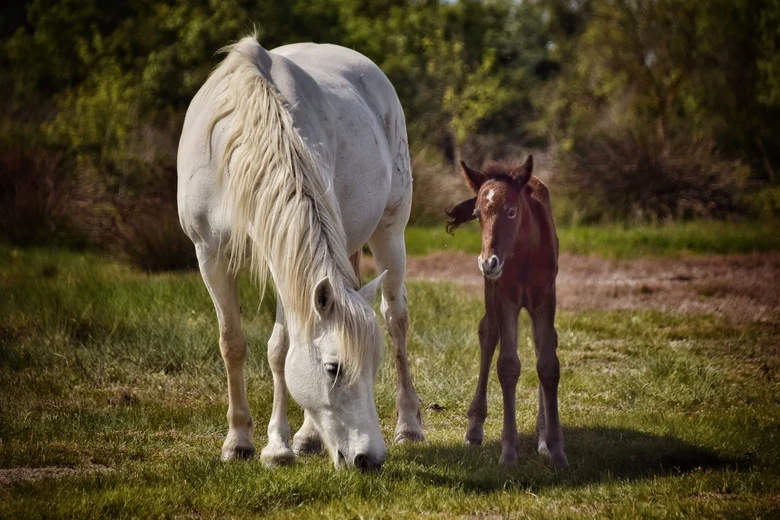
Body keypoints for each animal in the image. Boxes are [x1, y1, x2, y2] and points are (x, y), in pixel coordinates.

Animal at [177, 36, 424, 470]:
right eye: (333, 368)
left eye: (373, 367)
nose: (370, 458)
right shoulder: (209, 255)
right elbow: (232, 343)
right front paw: (238, 441)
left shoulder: (283, 259)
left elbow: (280, 351)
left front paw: (277, 446)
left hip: (390, 231)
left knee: (396, 318)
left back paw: (406, 426)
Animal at [445, 156, 568, 467]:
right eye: (477, 214)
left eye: (512, 211)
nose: (488, 262)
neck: (524, 256)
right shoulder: (504, 298)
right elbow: (508, 365)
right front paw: (508, 452)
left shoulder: (545, 299)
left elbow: (548, 364)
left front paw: (556, 450)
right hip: (490, 292)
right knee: (488, 333)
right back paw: (474, 427)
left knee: (544, 342)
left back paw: (541, 434)